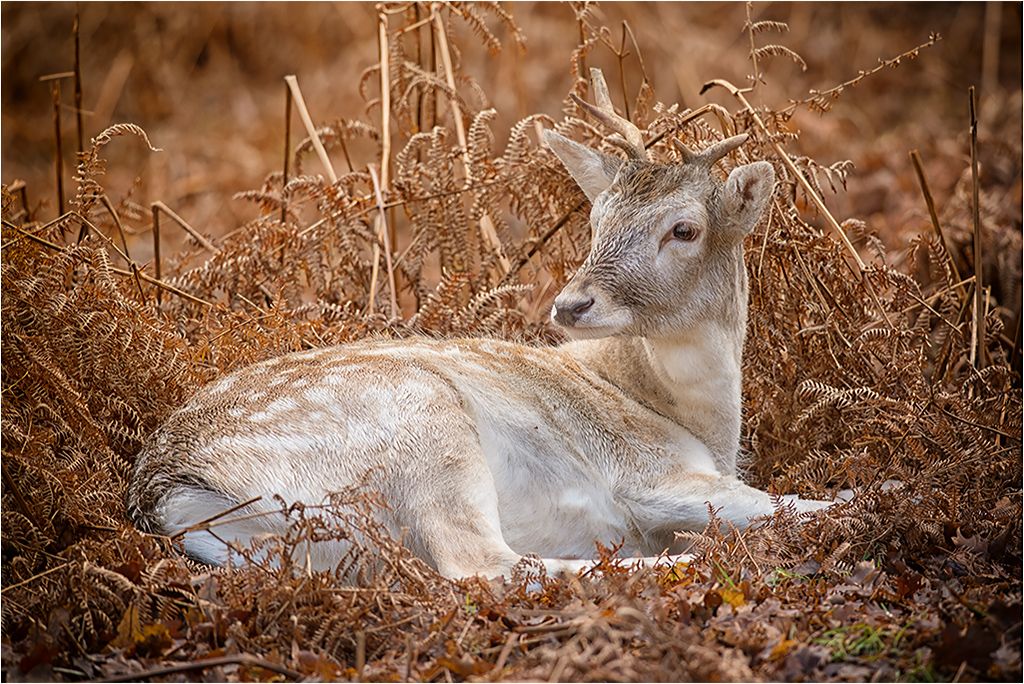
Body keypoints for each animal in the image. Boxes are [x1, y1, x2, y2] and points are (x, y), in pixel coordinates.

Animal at [128, 69, 847, 581]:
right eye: (595, 219)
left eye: (685, 229)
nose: (571, 305)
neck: (692, 418)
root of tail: (167, 491)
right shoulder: (647, 472)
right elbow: (809, 502)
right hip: (426, 426)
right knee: (480, 564)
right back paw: (675, 564)